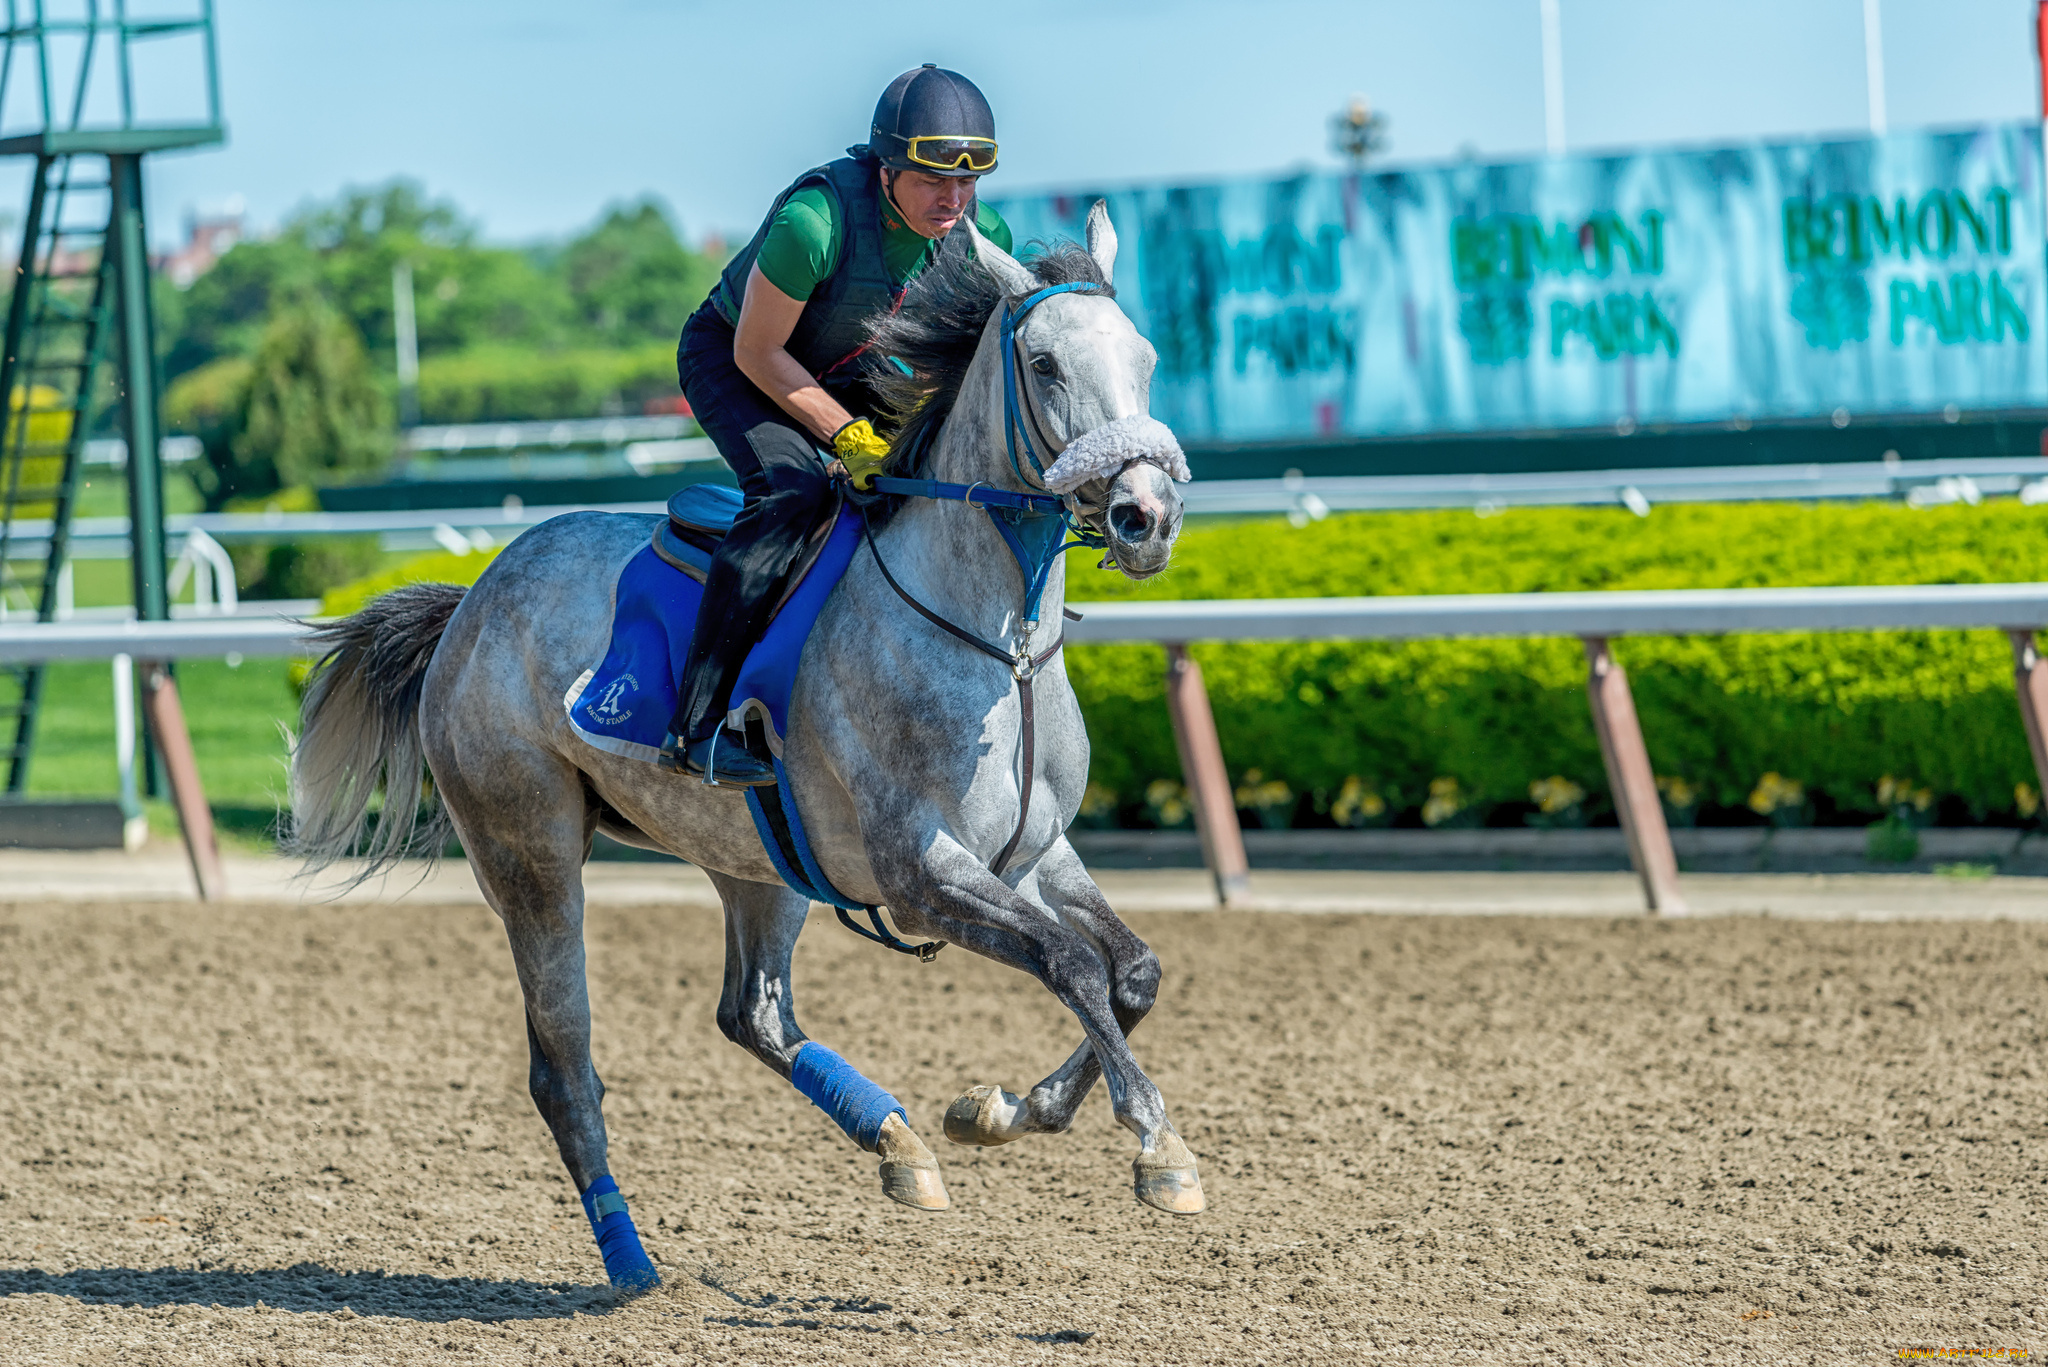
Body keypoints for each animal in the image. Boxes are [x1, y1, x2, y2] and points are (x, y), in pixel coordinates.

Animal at [296, 205, 1204, 1295]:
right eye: (1043, 362)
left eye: (1146, 358)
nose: (1146, 515)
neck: (1000, 644)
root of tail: (470, 598)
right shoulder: (919, 870)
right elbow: (1069, 962)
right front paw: (1157, 1148)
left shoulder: (1033, 851)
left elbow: (1132, 970)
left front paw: (1007, 1107)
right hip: (529, 852)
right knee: (564, 1066)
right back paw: (631, 1261)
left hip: (759, 860)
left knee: (754, 1013)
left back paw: (900, 1144)